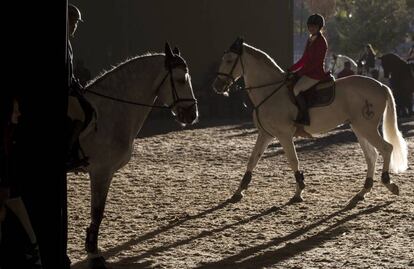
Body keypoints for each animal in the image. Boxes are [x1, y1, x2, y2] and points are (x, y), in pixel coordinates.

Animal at [73, 42, 198, 266]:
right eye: (181, 80)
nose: (192, 115)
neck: (109, 113)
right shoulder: (101, 172)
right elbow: (97, 212)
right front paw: (93, 252)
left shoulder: (103, 173)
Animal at [213, 36, 408, 205]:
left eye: (229, 60)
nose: (217, 86)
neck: (270, 92)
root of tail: (380, 85)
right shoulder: (265, 134)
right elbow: (252, 160)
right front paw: (238, 192)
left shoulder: (283, 135)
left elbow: (293, 161)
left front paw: (299, 192)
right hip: (359, 128)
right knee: (371, 155)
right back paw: (362, 192)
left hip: (366, 127)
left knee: (386, 148)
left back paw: (389, 184)